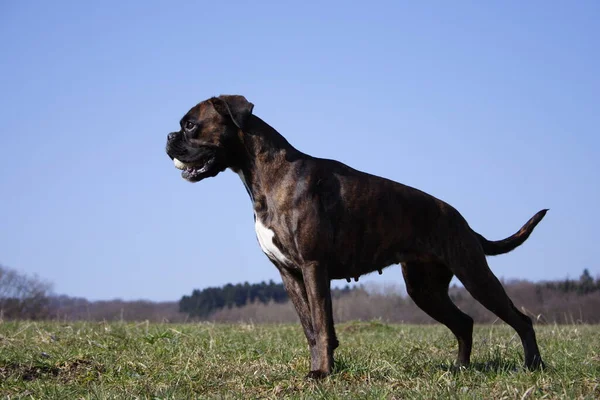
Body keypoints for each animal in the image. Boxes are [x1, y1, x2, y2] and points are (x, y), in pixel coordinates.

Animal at [165, 94, 548, 378]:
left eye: (190, 124)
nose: (168, 137)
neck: (267, 175)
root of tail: (461, 220)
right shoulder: (289, 274)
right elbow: (310, 328)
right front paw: (318, 369)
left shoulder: (313, 267)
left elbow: (322, 324)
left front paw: (322, 373)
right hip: (424, 290)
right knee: (464, 322)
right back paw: (461, 369)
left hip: (474, 275)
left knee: (520, 320)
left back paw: (533, 366)